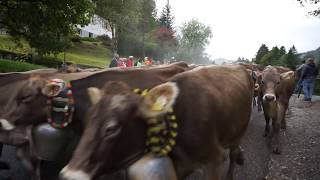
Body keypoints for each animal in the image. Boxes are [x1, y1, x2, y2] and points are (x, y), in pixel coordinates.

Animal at [60, 64, 255, 180]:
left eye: (111, 129)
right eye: (87, 121)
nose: (68, 175)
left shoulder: (215, 159)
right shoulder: (180, 166)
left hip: (239, 131)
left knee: (233, 154)